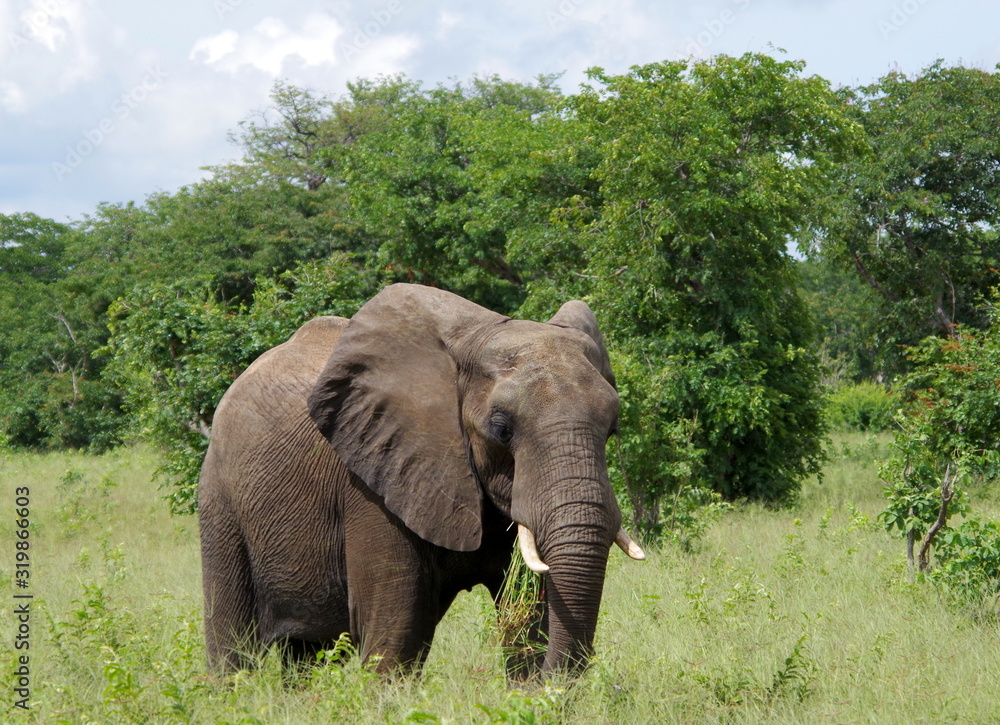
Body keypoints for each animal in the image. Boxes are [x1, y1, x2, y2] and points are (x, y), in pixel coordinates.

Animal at [198, 283, 644, 678]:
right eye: (501, 430)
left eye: (612, 429)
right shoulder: (372, 482)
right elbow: (396, 629)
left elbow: (530, 615)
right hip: (220, 495)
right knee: (233, 644)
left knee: (305, 655)